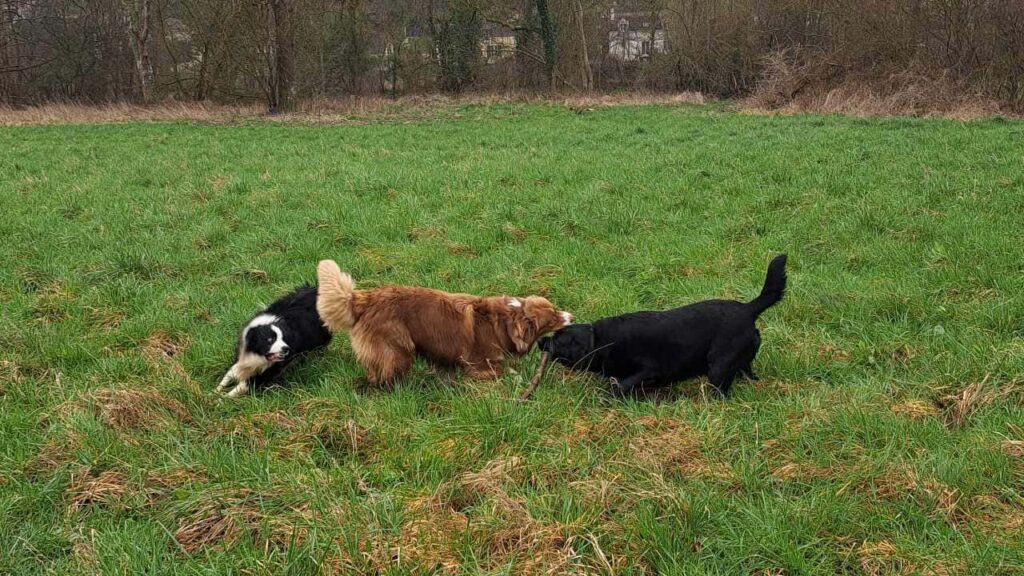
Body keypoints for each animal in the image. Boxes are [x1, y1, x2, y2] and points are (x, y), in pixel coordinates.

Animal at [313, 259, 569, 383]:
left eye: (555, 309)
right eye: (553, 318)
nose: (571, 316)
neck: (506, 320)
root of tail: (364, 298)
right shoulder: (478, 364)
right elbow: (506, 371)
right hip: (398, 349)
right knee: (384, 376)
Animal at [540, 253, 786, 397]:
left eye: (558, 339)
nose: (541, 340)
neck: (599, 341)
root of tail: (748, 308)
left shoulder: (650, 368)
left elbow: (623, 384)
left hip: (718, 366)